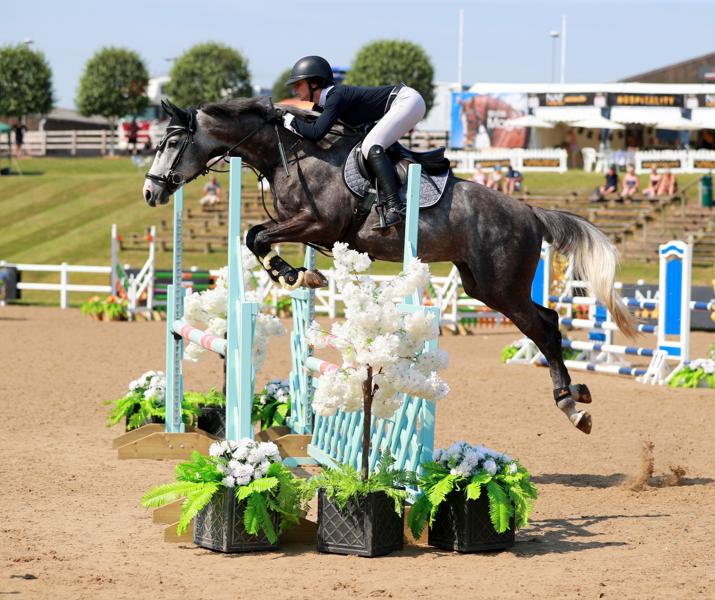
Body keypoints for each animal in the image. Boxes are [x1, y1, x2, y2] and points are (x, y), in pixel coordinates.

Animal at [142, 97, 638, 435]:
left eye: (172, 142)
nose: (151, 192)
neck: (292, 154)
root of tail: (530, 211)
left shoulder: (319, 224)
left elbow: (256, 235)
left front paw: (293, 274)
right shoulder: (303, 227)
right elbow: (254, 236)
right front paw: (298, 274)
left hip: (503, 286)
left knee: (545, 328)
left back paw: (571, 405)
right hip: (482, 286)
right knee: (547, 320)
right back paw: (574, 393)